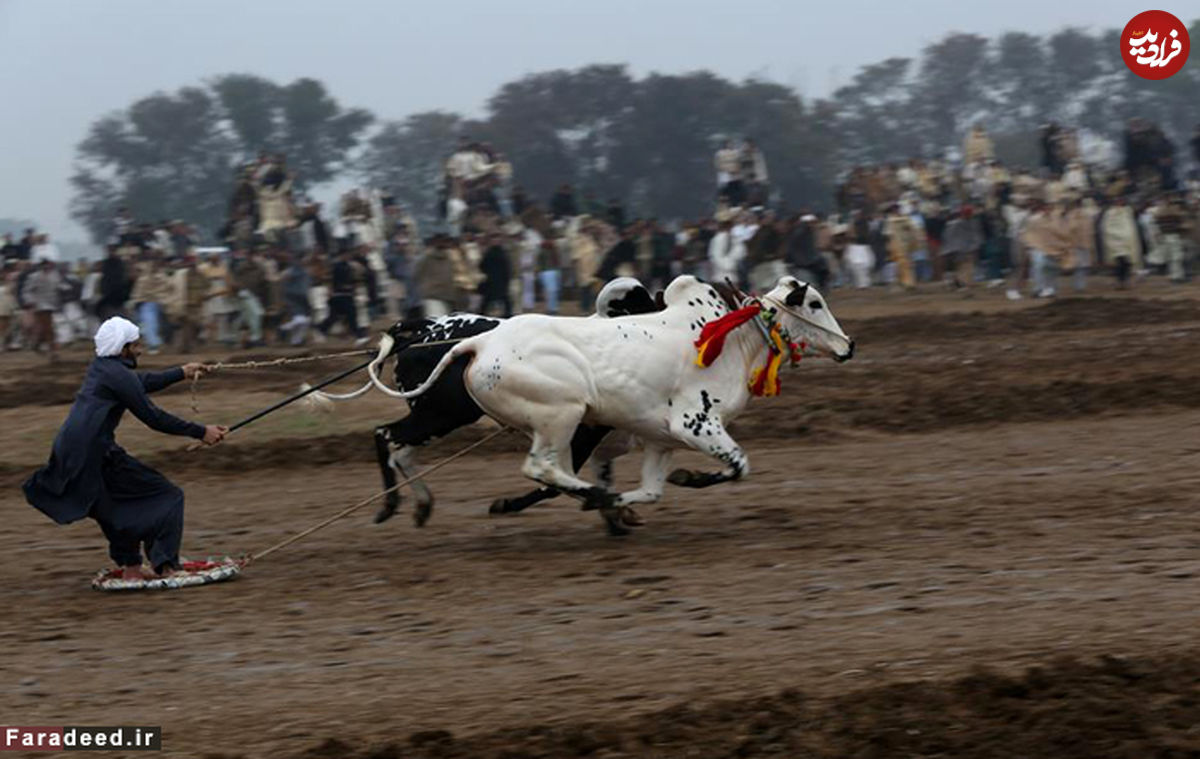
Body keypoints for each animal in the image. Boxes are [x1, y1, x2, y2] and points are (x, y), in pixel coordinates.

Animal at [364, 273, 854, 533]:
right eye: (814, 302)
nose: (848, 347)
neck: (729, 338)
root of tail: (478, 343)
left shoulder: (659, 438)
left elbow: (654, 489)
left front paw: (624, 508)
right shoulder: (695, 424)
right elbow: (739, 465)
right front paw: (679, 482)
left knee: (399, 443)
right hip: (554, 415)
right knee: (539, 468)